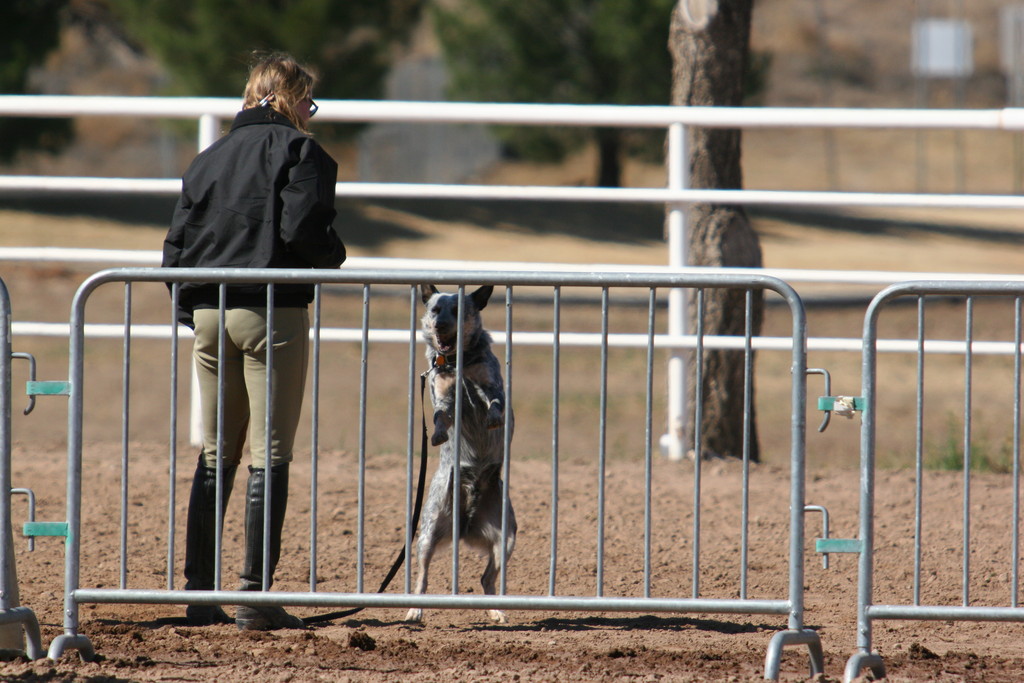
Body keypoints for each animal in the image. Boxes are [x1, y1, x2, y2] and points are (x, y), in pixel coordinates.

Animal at [403, 282, 516, 626]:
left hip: (506, 537)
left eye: (459, 310)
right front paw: (439, 434)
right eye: (435, 309)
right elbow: (441, 415)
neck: (457, 364)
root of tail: (466, 522)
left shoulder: (491, 385)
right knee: (422, 577)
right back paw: (413, 610)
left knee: (487, 578)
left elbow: (495, 402)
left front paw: (492, 417)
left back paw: (496, 610)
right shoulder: (442, 394)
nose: (440, 325)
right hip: (427, 531)